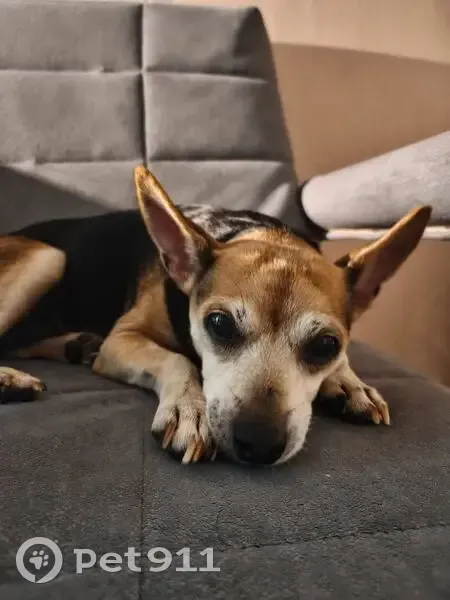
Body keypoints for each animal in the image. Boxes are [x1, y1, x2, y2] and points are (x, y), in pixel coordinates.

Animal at [0, 166, 431, 466]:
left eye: (326, 345)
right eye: (219, 324)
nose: (259, 443)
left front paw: (349, 382)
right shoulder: (122, 339)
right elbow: (176, 359)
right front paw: (190, 409)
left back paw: (74, 345)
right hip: (48, 258)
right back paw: (11, 379)